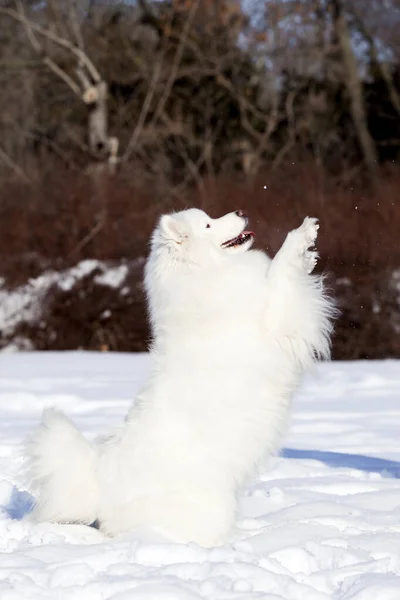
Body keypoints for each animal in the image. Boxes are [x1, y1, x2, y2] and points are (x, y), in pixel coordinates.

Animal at [26, 209, 336, 548]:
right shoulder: (277, 320)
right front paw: (302, 234)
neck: (205, 281)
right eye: (209, 224)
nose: (240, 212)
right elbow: (281, 270)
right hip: (207, 508)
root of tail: (101, 484)